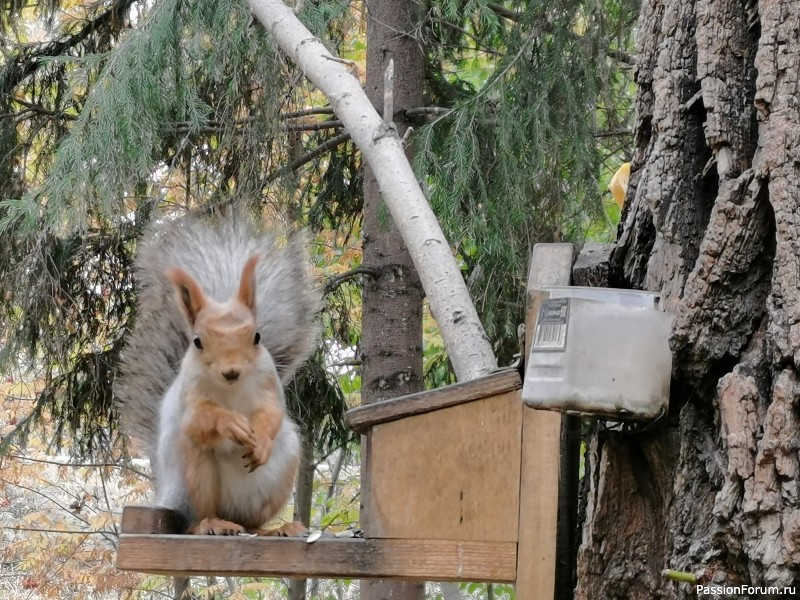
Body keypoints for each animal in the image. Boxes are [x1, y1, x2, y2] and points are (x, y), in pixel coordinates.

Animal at [116, 216, 322, 536]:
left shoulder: (268, 383)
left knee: (252, 524)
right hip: (194, 477)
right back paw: (211, 523)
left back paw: (276, 529)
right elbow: (199, 420)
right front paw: (230, 423)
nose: (231, 371)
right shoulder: (190, 394)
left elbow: (272, 413)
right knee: (195, 520)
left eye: (257, 337)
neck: (232, 389)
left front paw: (261, 440)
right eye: (197, 341)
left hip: (283, 467)